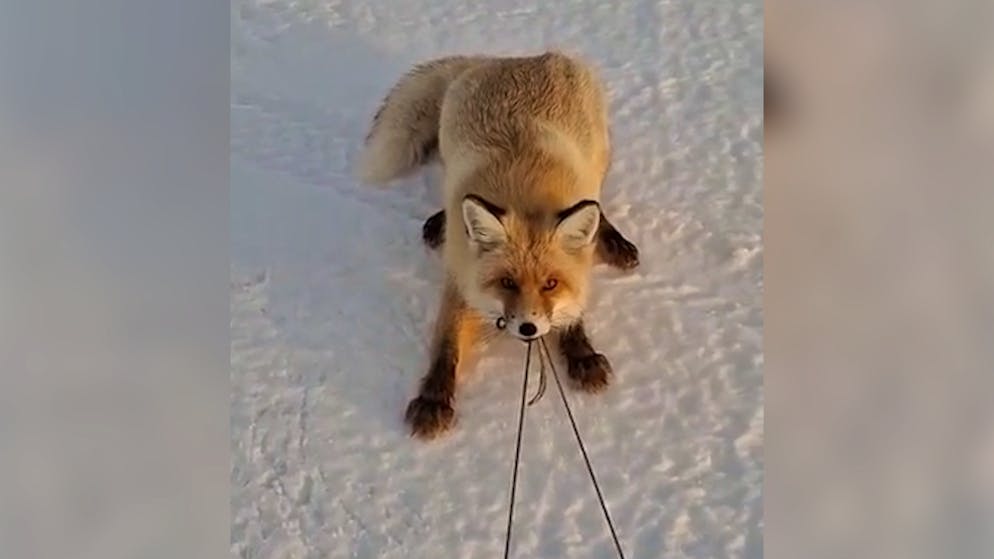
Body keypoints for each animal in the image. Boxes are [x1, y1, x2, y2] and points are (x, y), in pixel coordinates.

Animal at [357, 52, 640, 439]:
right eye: (507, 282)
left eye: (551, 284)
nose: (529, 329)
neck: (525, 190)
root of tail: (512, 58)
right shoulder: (461, 275)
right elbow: (445, 344)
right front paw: (433, 399)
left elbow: (573, 309)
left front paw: (580, 352)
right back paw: (442, 222)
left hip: (597, 157)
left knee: (597, 204)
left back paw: (613, 241)